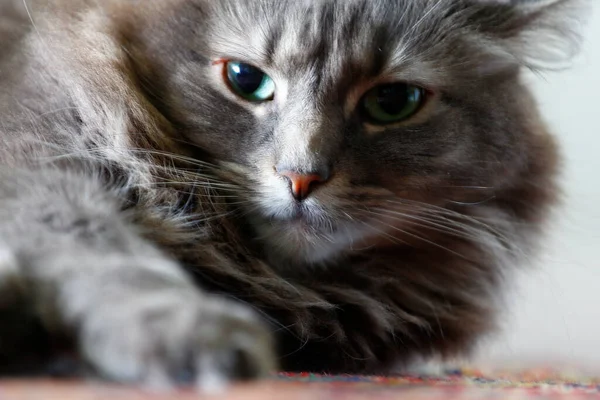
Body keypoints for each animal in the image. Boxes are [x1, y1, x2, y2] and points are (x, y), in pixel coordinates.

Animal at [0, 0, 584, 390]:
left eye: (394, 101)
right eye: (245, 79)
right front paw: (195, 333)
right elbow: (116, 260)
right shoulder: (42, 173)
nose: (301, 177)